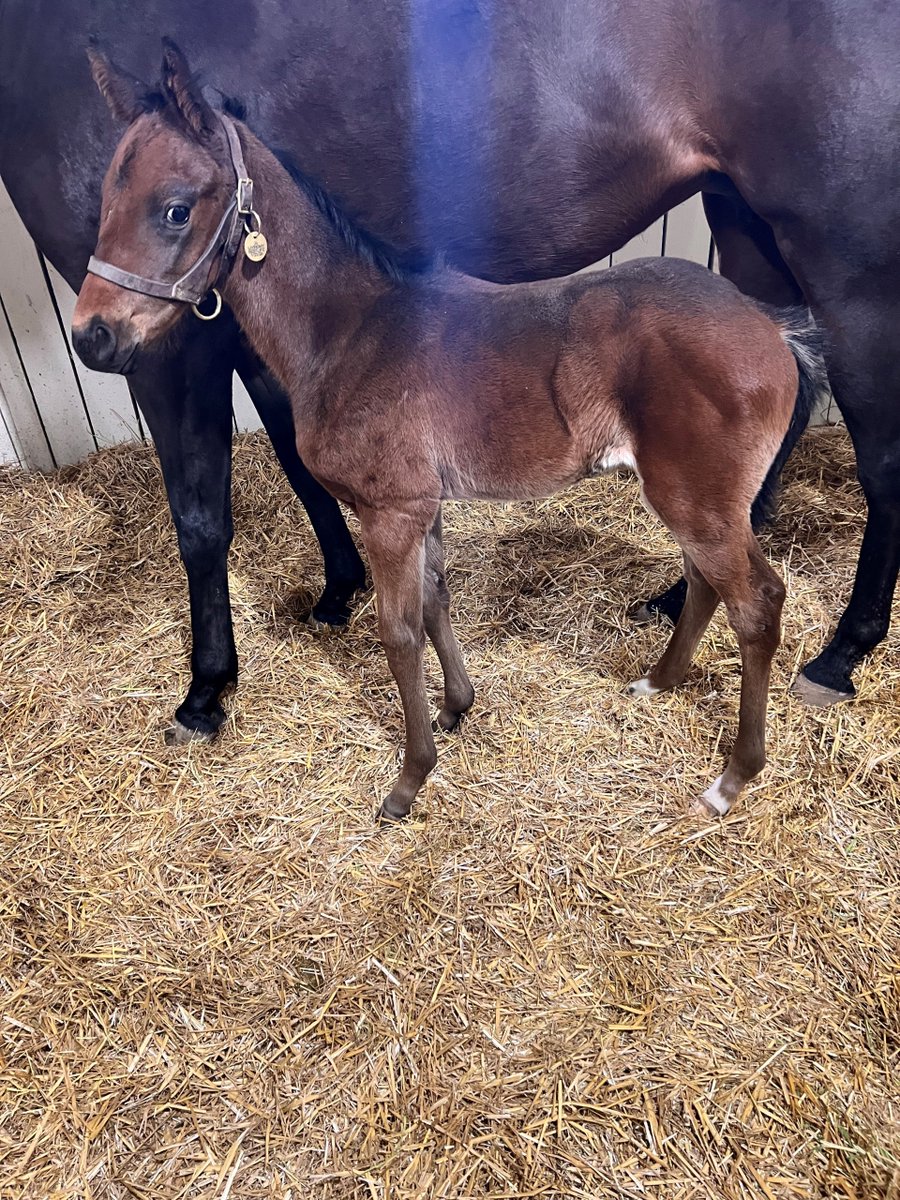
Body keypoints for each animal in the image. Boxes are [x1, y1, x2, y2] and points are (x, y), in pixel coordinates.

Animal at [2, 0, 898, 746]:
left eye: (176, 207)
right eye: (108, 194)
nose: (94, 337)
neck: (353, 323)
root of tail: (770, 332)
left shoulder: (200, 365)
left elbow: (211, 525)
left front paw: (209, 694)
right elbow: (335, 502)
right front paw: (387, 641)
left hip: (844, 275)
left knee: (849, 495)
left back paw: (824, 671)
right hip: (742, 241)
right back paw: (669, 651)